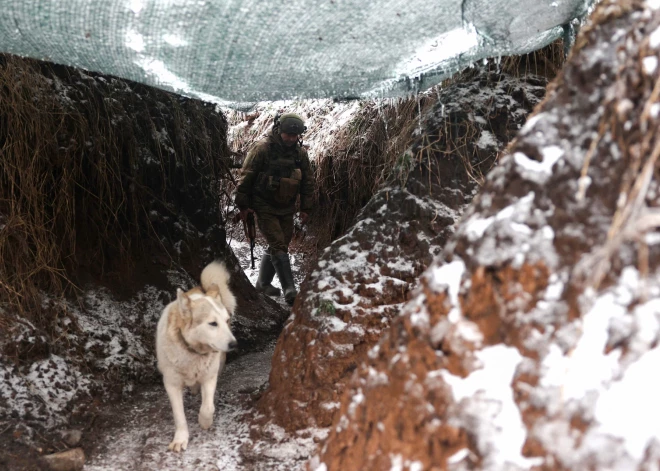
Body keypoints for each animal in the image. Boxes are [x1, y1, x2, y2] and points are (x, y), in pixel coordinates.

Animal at [155, 262, 237, 454]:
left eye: (226, 321)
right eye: (212, 323)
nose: (233, 344)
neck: (193, 352)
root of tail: (203, 288)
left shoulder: (210, 377)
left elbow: (208, 407)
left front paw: (204, 422)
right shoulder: (172, 384)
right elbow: (179, 416)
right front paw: (180, 439)